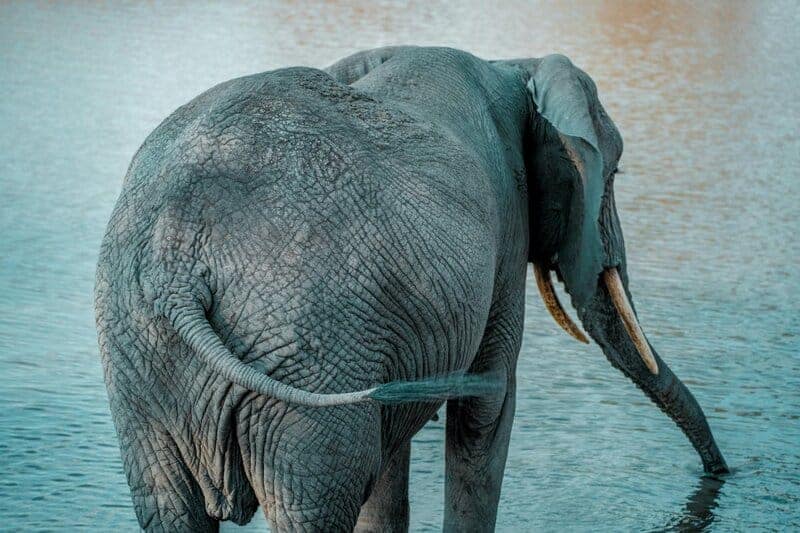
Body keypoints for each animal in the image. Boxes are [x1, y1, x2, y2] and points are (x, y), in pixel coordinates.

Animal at [94, 45, 728, 532]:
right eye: (613, 175)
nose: (723, 473)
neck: (514, 64)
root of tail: (174, 265)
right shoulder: (505, 230)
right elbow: (488, 406)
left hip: (142, 356)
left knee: (169, 505)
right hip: (306, 354)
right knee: (313, 502)